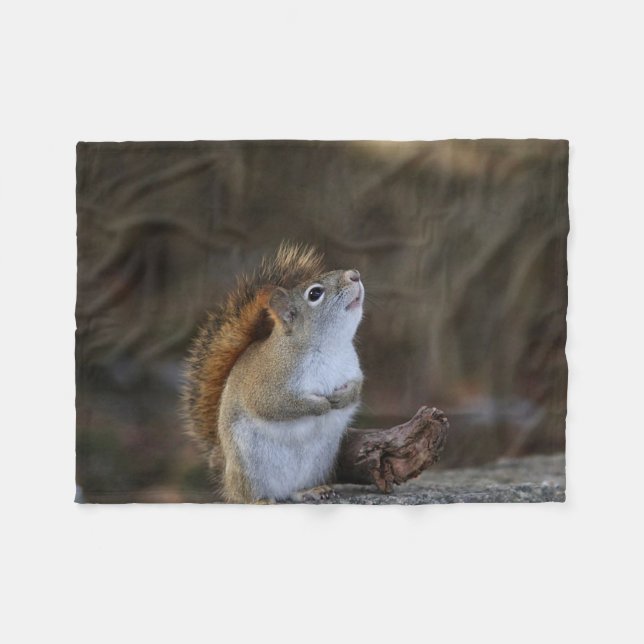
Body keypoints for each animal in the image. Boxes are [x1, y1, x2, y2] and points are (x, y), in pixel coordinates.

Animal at [181, 242, 365, 503]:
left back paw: (311, 490)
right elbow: (275, 405)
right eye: (315, 294)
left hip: (317, 463)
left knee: (294, 491)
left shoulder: (353, 370)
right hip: (249, 467)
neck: (330, 346)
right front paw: (319, 405)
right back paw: (260, 501)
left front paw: (342, 398)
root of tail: (224, 470)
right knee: (245, 496)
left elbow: (357, 388)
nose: (354, 275)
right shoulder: (267, 382)